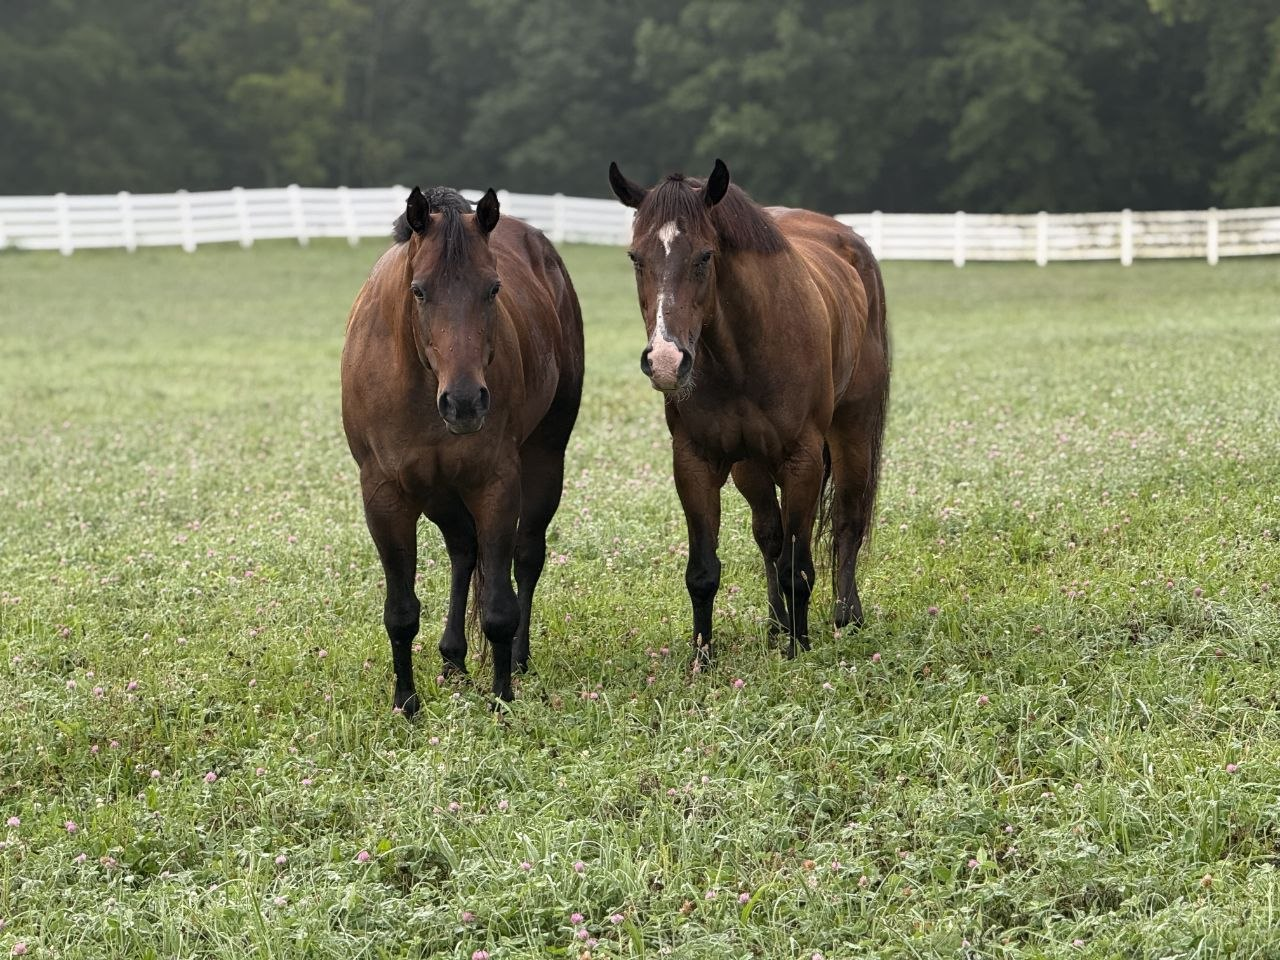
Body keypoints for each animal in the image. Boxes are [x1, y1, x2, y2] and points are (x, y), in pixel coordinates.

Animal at [341, 186, 584, 711]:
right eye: (419, 290)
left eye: (493, 289)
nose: (466, 403)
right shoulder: (386, 497)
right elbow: (401, 610)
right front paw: (406, 703)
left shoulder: (496, 486)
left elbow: (498, 607)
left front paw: (503, 699)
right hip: (439, 493)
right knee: (462, 550)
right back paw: (453, 658)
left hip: (545, 459)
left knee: (525, 557)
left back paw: (516, 658)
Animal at [608, 159, 890, 663]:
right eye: (636, 258)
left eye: (704, 256)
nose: (666, 361)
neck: (740, 353)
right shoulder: (695, 463)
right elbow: (704, 570)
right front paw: (702, 657)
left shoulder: (802, 461)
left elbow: (799, 567)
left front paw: (799, 649)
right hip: (751, 467)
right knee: (769, 535)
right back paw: (778, 624)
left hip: (853, 432)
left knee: (846, 522)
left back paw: (846, 616)